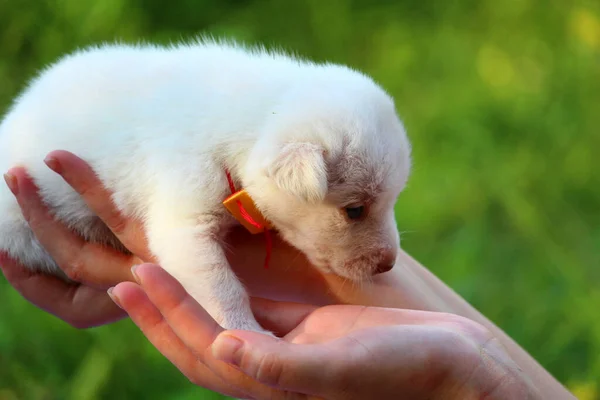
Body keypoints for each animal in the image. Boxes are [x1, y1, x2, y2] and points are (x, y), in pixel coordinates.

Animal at [0, 39, 412, 332]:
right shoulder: (184, 223)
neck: (253, 117)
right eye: (354, 210)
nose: (389, 265)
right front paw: (244, 330)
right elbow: (222, 286)